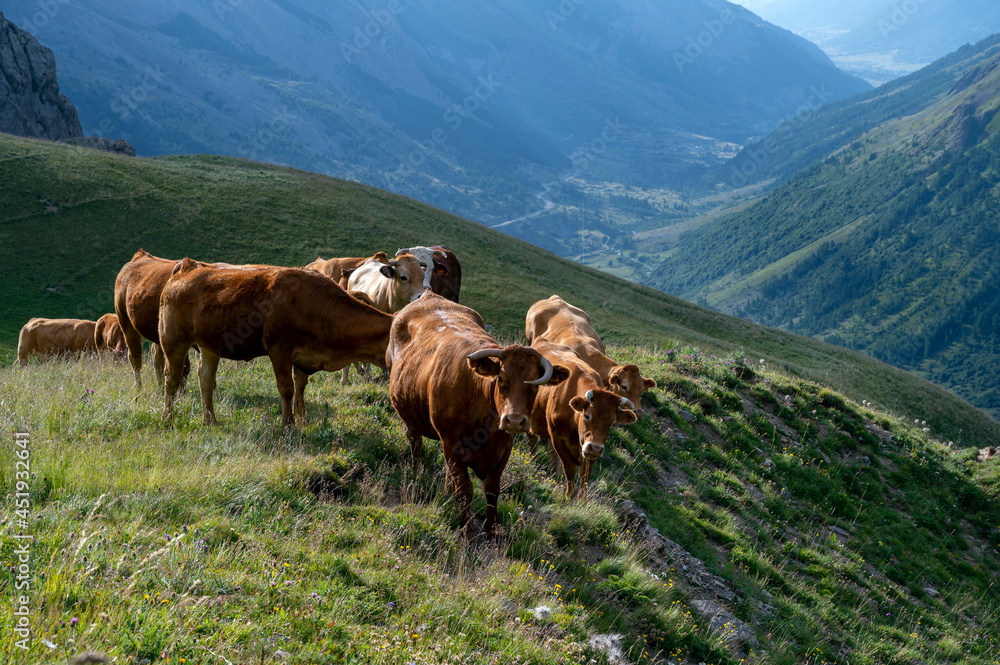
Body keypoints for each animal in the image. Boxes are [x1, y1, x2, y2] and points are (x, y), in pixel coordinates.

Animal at [159, 260, 390, 426]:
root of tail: (187, 267)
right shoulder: (280, 350)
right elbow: (287, 388)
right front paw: (288, 425)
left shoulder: (304, 355)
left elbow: (300, 386)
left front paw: (302, 418)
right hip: (173, 341)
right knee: (171, 379)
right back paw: (168, 419)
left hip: (209, 346)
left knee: (205, 379)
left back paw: (210, 420)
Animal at [386, 294, 568, 536]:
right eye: (500, 379)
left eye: (535, 386)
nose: (515, 420)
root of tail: (429, 296)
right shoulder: (450, 443)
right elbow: (465, 489)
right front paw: (468, 532)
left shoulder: (505, 446)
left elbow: (492, 488)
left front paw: (492, 529)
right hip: (410, 417)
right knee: (415, 441)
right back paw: (417, 473)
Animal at [528, 340, 636, 496]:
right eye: (587, 415)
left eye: (611, 423)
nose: (595, 448)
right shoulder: (558, 438)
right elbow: (570, 469)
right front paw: (569, 496)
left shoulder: (591, 448)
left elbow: (585, 475)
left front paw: (582, 499)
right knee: (532, 440)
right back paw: (533, 461)